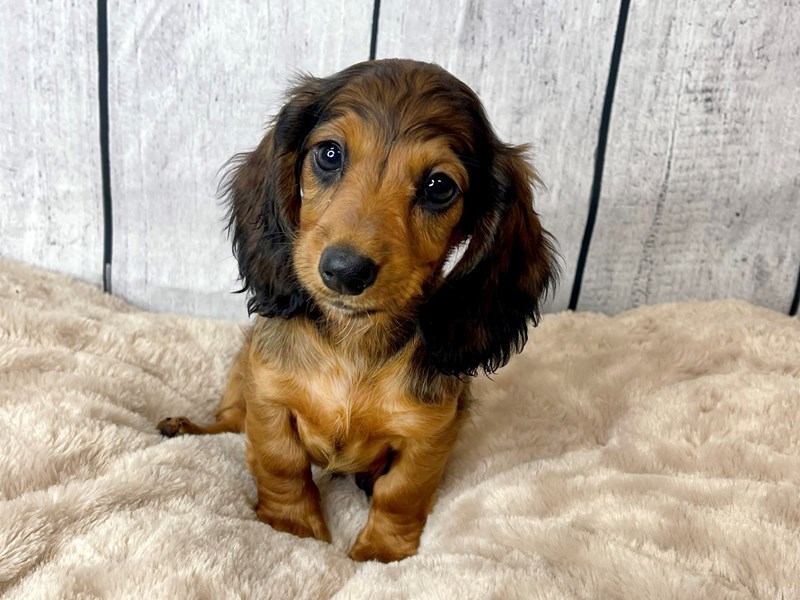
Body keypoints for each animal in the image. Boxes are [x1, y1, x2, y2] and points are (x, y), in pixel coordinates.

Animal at [156, 58, 556, 560]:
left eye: (439, 186)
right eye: (330, 155)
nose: (345, 271)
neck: (353, 341)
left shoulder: (431, 436)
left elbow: (402, 492)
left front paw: (381, 553)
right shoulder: (268, 396)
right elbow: (281, 462)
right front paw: (291, 528)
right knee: (230, 421)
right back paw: (186, 426)